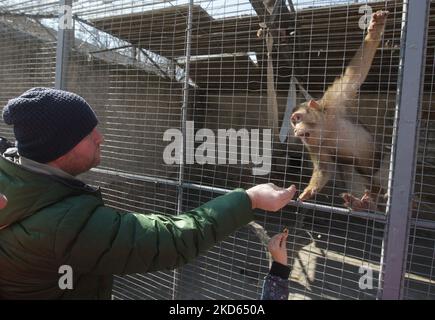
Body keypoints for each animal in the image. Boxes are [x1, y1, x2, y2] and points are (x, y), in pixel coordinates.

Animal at [292, 10, 390, 211]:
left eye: (297, 118)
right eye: (293, 121)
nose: (295, 129)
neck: (326, 128)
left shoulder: (334, 101)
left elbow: (356, 74)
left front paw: (375, 30)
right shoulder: (314, 145)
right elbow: (324, 169)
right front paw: (310, 190)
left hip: (378, 163)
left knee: (381, 166)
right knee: (350, 169)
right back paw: (363, 203)